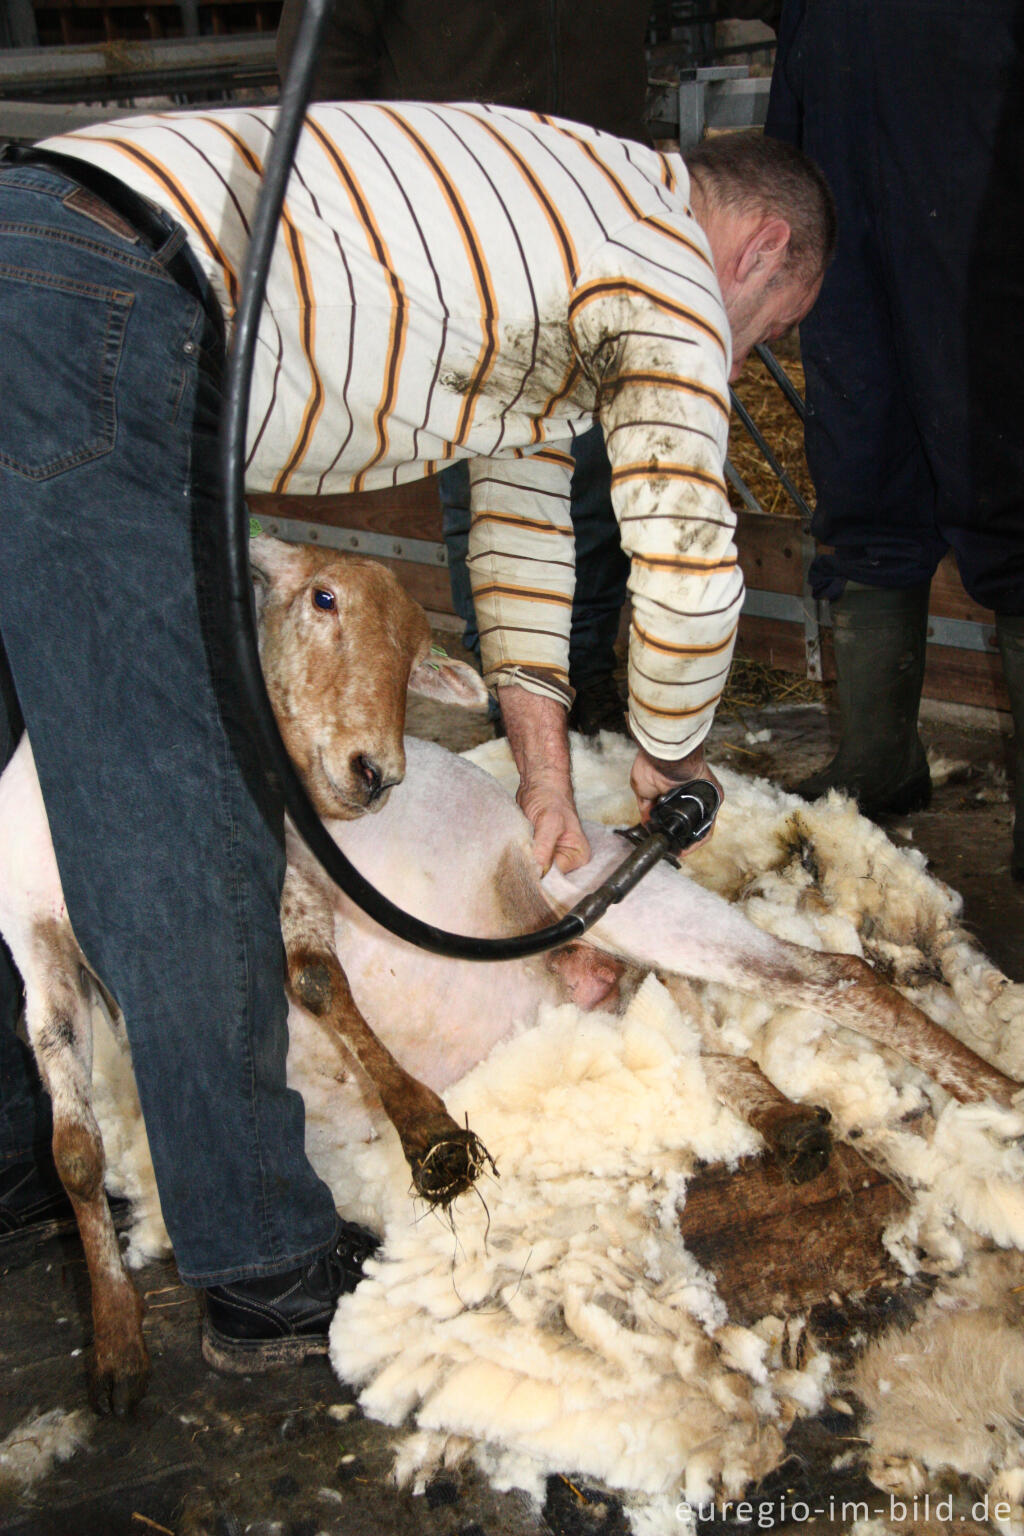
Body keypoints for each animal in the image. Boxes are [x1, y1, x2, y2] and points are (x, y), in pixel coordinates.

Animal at [4, 534, 1019, 1419]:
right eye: (321, 600)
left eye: (410, 650)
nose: (373, 774)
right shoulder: (36, 938)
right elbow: (75, 1149)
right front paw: (116, 1350)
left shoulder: (287, 873)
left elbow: (316, 979)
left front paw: (428, 1135)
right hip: (598, 987)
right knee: (690, 1036)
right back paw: (787, 1121)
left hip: (617, 896)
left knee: (834, 976)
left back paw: (994, 1091)